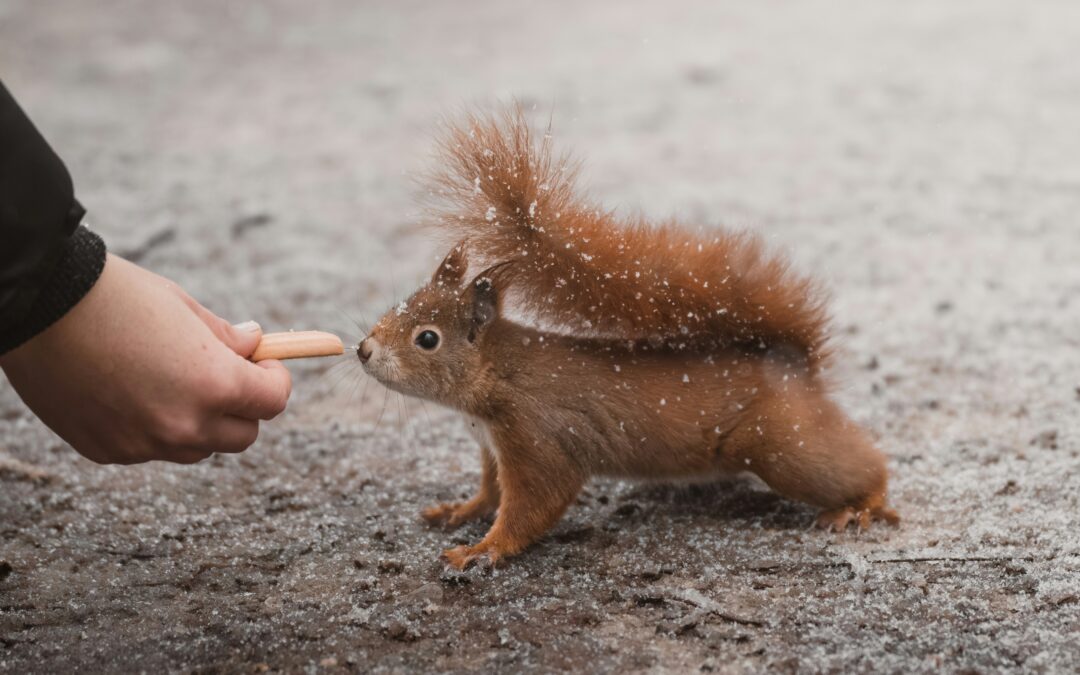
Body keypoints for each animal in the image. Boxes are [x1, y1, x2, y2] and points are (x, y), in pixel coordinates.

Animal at [358, 107, 899, 570]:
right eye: (395, 307)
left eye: (427, 339)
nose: (364, 350)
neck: (498, 369)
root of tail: (791, 364)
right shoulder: (493, 445)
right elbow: (492, 491)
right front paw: (462, 509)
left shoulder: (537, 434)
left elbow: (534, 503)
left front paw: (484, 549)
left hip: (783, 446)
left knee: (862, 465)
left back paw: (863, 505)